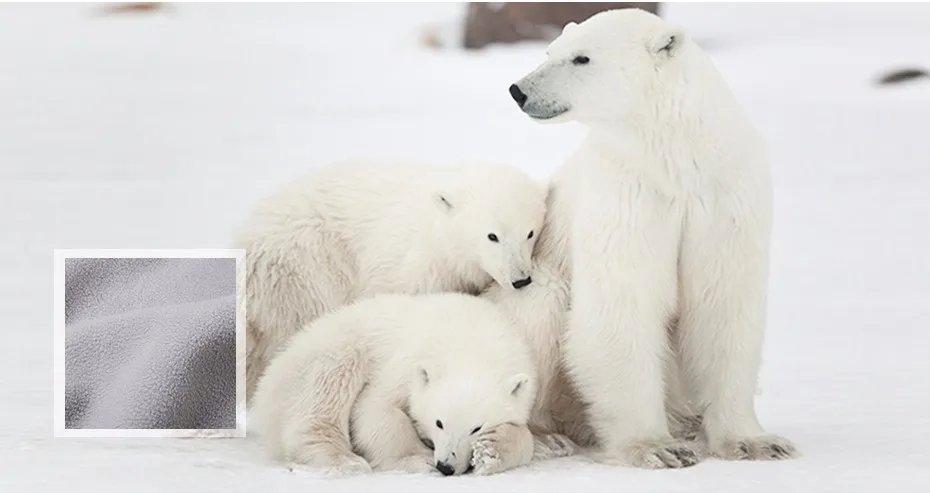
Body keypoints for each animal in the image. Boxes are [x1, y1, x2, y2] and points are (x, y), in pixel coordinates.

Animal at [250, 292, 540, 476]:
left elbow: (525, 435)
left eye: (476, 428)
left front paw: (491, 451)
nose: (446, 466)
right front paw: (419, 460)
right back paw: (344, 459)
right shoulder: (406, 361)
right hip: (328, 352)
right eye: (439, 422)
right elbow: (376, 409)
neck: (470, 340)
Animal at [508, 8, 796, 468]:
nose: (519, 90)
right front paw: (656, 447)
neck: (675, 159)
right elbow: (624, 303)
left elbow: (723, 304)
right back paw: (545, 436)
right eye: (550, 50)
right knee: (541, 307)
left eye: (581, 58)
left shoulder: (724, 196)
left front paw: (755, 442)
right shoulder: (628, 195)